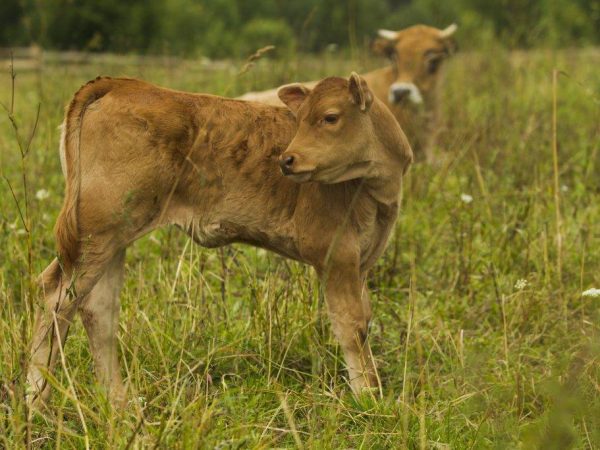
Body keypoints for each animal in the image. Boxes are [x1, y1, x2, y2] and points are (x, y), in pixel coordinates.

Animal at [28, 73, 412, 404]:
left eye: (330, 117)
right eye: (300, 118)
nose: (287, 160)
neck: (380, 190)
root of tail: (121, 83)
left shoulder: (362, 262)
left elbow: (364, 319)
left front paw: (373, 390)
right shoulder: (336, 254)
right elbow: (351, 326)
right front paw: (368, 397)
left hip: (114, 235)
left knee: (98, 307)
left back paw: (119, 402)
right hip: (98, 229)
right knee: (58, 294)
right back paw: (35, 399)